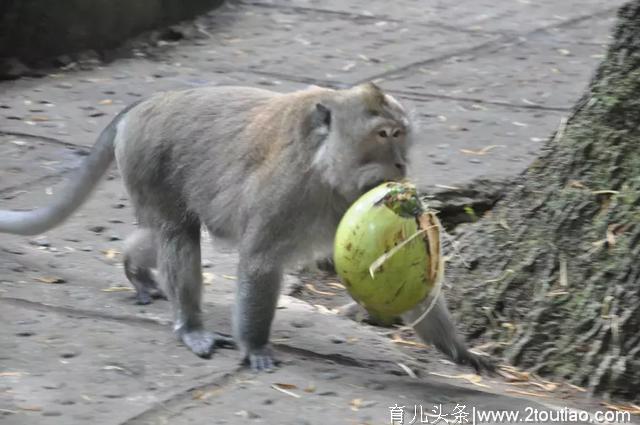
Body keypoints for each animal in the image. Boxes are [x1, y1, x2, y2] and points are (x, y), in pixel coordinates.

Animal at [0, 83, 496, 372]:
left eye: (400, 134)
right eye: (383, 135)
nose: (400, 165)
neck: (326, 168)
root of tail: (142, 106)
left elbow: (409, 283)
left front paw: (460, 351)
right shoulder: (286, 190)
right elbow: (260, 261)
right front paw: (255, 346)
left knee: (164, 234)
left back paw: (133, 266)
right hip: (148, 159)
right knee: (178, 234)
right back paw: (190, 324)